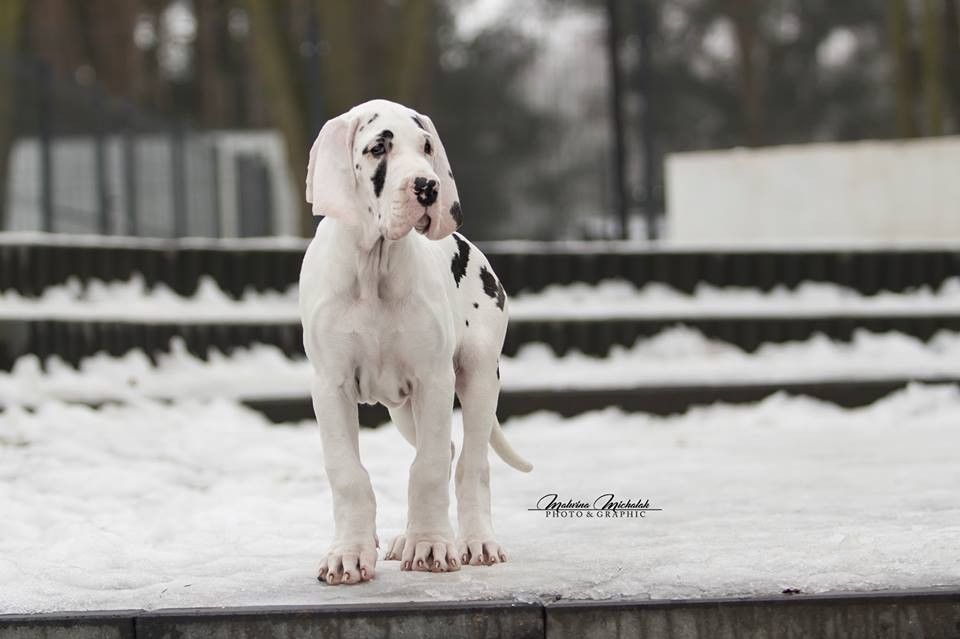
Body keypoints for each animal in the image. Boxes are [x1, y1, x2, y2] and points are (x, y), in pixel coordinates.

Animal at [299, 99, 532, 585]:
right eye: (377, 148)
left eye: (426, 147)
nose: (428, 186)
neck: (374, 267)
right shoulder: (330, 385)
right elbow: (347, 472)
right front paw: (349, 553)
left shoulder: (434, 380)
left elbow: (428, 469)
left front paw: (429, 545)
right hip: (404, 411)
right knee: (446, 448)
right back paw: (409, 535)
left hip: (479, 378)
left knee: (469, 463)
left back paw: (474, 541)